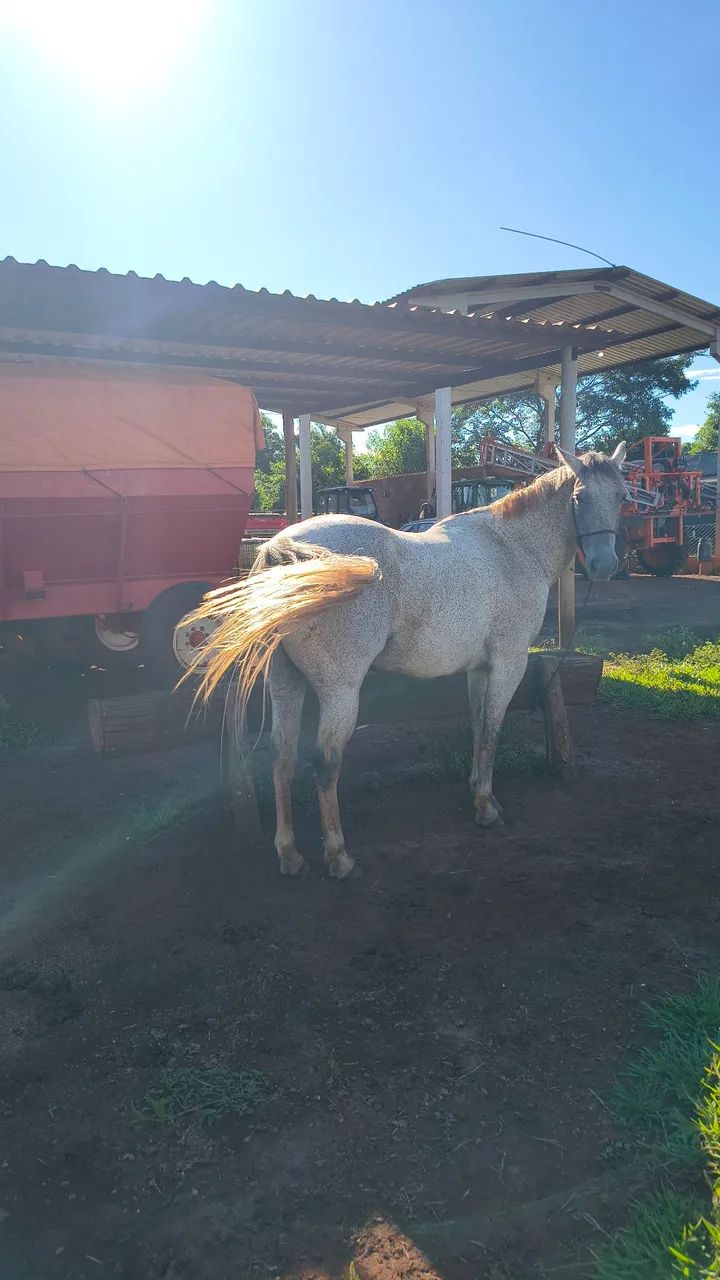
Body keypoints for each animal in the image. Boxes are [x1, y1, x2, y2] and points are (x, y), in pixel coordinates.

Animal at [184, 444, 627, 879]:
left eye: (622, 497)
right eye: (579, 498)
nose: (604, 566)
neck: (513, 549)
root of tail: (284, 551)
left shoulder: (479, 669)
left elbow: (478, 727)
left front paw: (477, 791)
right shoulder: (508, 662)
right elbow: (492, 730)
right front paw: (486, 807)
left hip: (285, 682)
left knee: (283, 755)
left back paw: (289, 854)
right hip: (340, 691)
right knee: (325, 763)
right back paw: (339, 856)